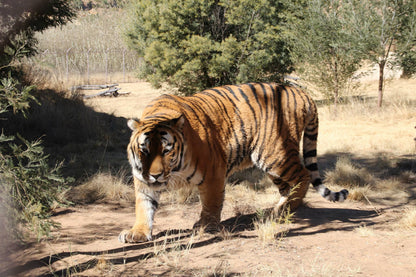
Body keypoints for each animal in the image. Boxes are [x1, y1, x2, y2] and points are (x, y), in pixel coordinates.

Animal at [118, 81, 350, 242]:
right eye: (144, 150)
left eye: (166, 150)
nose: (155, 175)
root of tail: (301, 92)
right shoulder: (142, 180)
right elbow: (143, 206)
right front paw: (138, 233)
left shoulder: (213, 173)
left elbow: (211, 203)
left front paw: (205, 226)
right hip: (271, 164)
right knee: (288, 186)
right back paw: (278, 209)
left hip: (276, 155)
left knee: (303, 174)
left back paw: (288, 208)